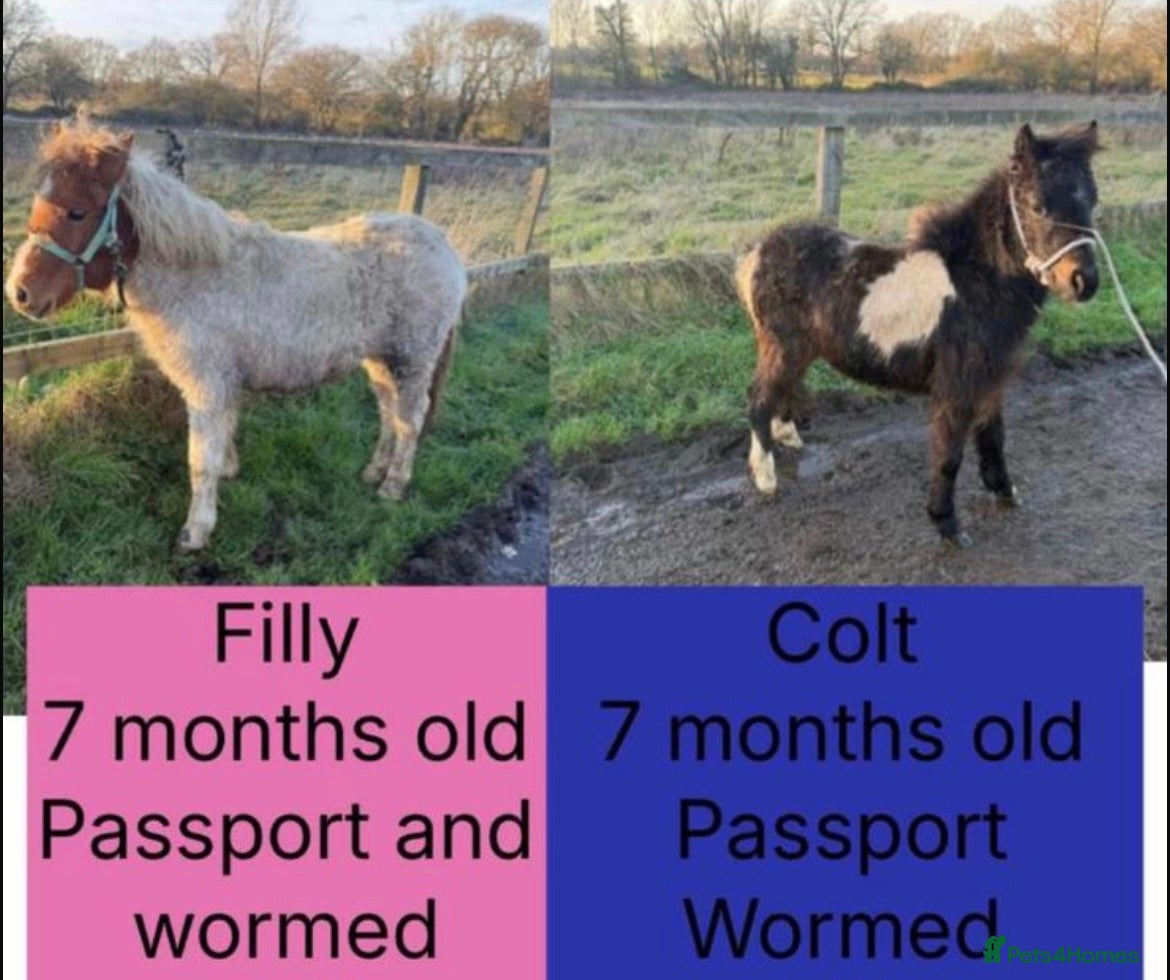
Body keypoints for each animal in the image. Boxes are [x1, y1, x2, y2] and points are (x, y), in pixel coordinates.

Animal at [5, 117, 468, 551]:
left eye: (77, 212)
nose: (20, 293)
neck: (194, 278)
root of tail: (443, 245)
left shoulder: (206, 386)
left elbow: (199, 459)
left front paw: (196, 530)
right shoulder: (223, 384)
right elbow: (223, 437)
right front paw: (229, 472)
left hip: (413, 358)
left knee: (410, 419)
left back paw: (393, 485)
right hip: (381, 360)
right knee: (390, 413)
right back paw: (374, 472)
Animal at [736, 122, 1101, 547]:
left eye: (1092, 200)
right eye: (1037, 204)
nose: (1083, 282)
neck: (976, 282)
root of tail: (757, 251)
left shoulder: (991, 381)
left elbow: (994, 439)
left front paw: (1005, 492)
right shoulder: (956, 388)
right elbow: (950, 455)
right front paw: (948, 525)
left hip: (798, 350)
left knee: (780, 390)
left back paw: (786, 437)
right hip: (783, 346)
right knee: (760, 395)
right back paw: (766, 477)